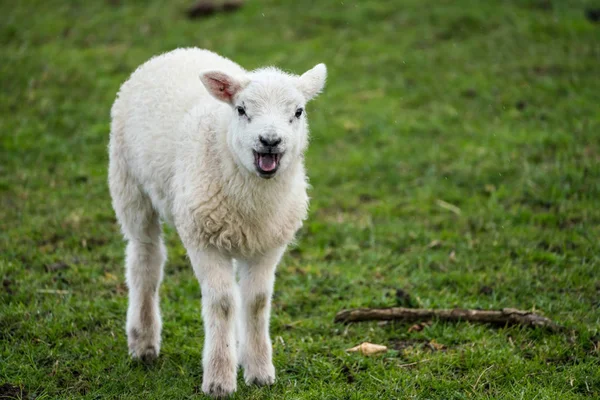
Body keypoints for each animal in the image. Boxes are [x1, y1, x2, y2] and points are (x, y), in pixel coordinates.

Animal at [105, 48, 326, 398]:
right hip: (128, 182)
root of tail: (175, 52)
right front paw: (220, 379)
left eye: (298, 111)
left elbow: (256, 302)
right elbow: (221, 303)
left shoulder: (267, 243)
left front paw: (259, 371)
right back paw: (143, 342)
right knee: (145, 259)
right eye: (241, 109)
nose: (270, 140)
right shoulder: (202, 238)